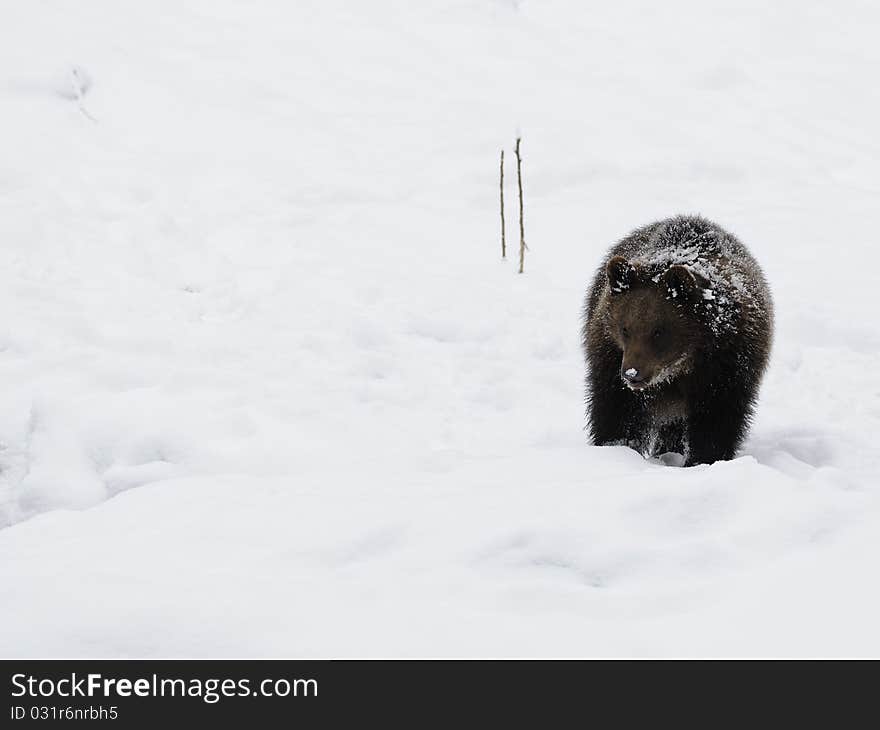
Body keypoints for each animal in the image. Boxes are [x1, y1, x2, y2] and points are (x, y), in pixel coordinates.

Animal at [580, 216, 772, 464]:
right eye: (625, 328)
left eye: (658, 331)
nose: (632, 374)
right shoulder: (610, 358)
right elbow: (618, 413)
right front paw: (618, 447)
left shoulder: (725, 367)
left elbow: (715, 421)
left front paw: (703, 459)